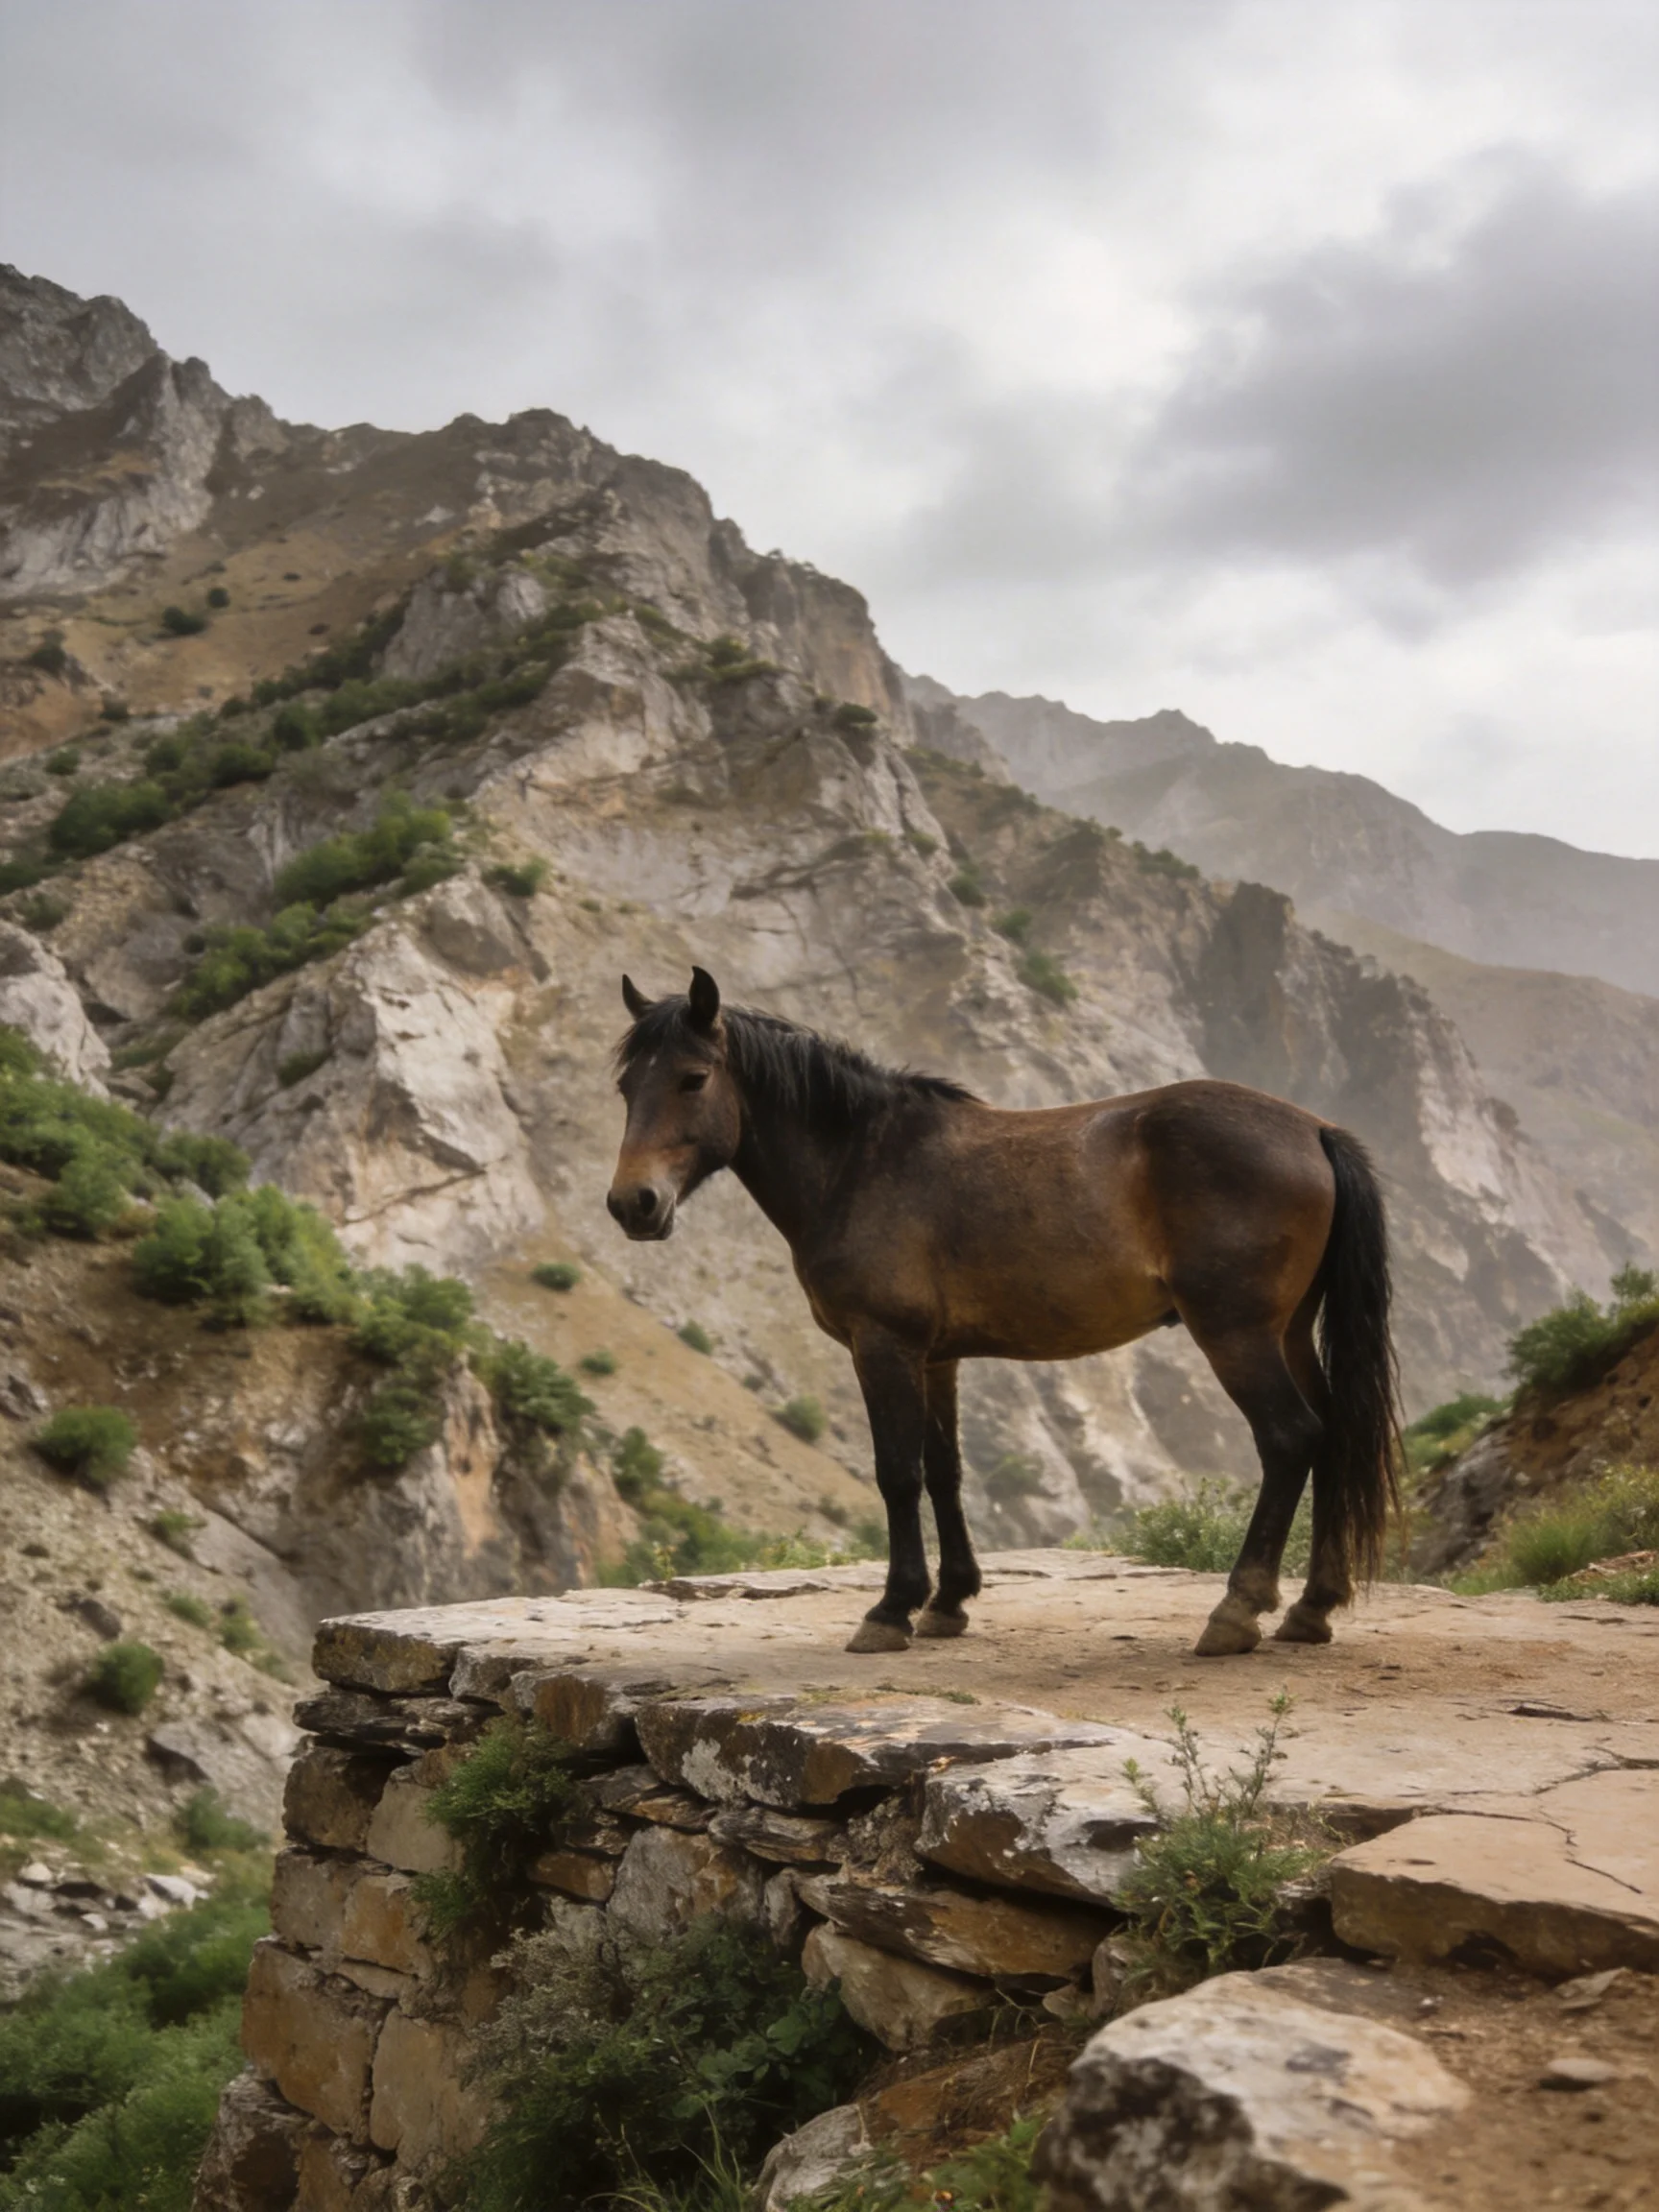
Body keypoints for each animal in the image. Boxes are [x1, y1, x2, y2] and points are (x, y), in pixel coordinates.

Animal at [607, 967, 1401, 1658]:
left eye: (692, 1078)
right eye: (625, 1084)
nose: (632, 1204)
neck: (861, 1159)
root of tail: (1314, 1131)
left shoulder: (883, 1346)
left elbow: (897, 1472)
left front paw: (890, 1610)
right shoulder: (937, 1358)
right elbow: (943, 1472)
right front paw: (948, 1602)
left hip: (1236, 1333)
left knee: (1290, 1437)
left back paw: (1236, 1611)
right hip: (1288, 1331)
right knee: (1333, 1435)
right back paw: (1311, 1608)